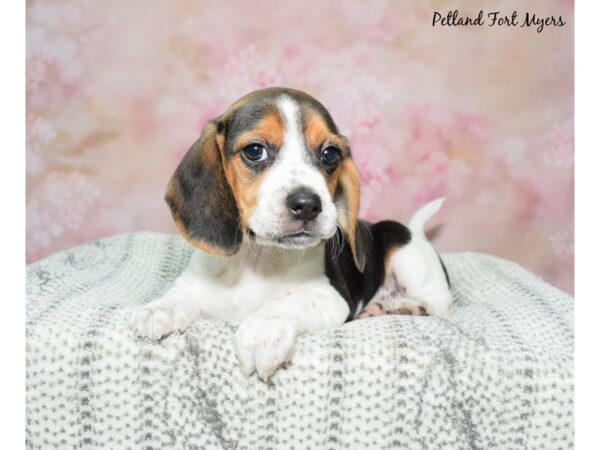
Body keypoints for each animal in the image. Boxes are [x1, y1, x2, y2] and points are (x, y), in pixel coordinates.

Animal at [130, 87, 450, 380]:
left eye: (330, 154)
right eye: (254, 151)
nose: (308, 204)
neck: (255, 258)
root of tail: (415, 231)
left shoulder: (328, 297)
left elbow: (282, 302)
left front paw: (262, 331)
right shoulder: (194, 284)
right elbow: (180, 295)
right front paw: (161, 310)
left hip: (406, 253)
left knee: (439, 302)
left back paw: (406, 307)